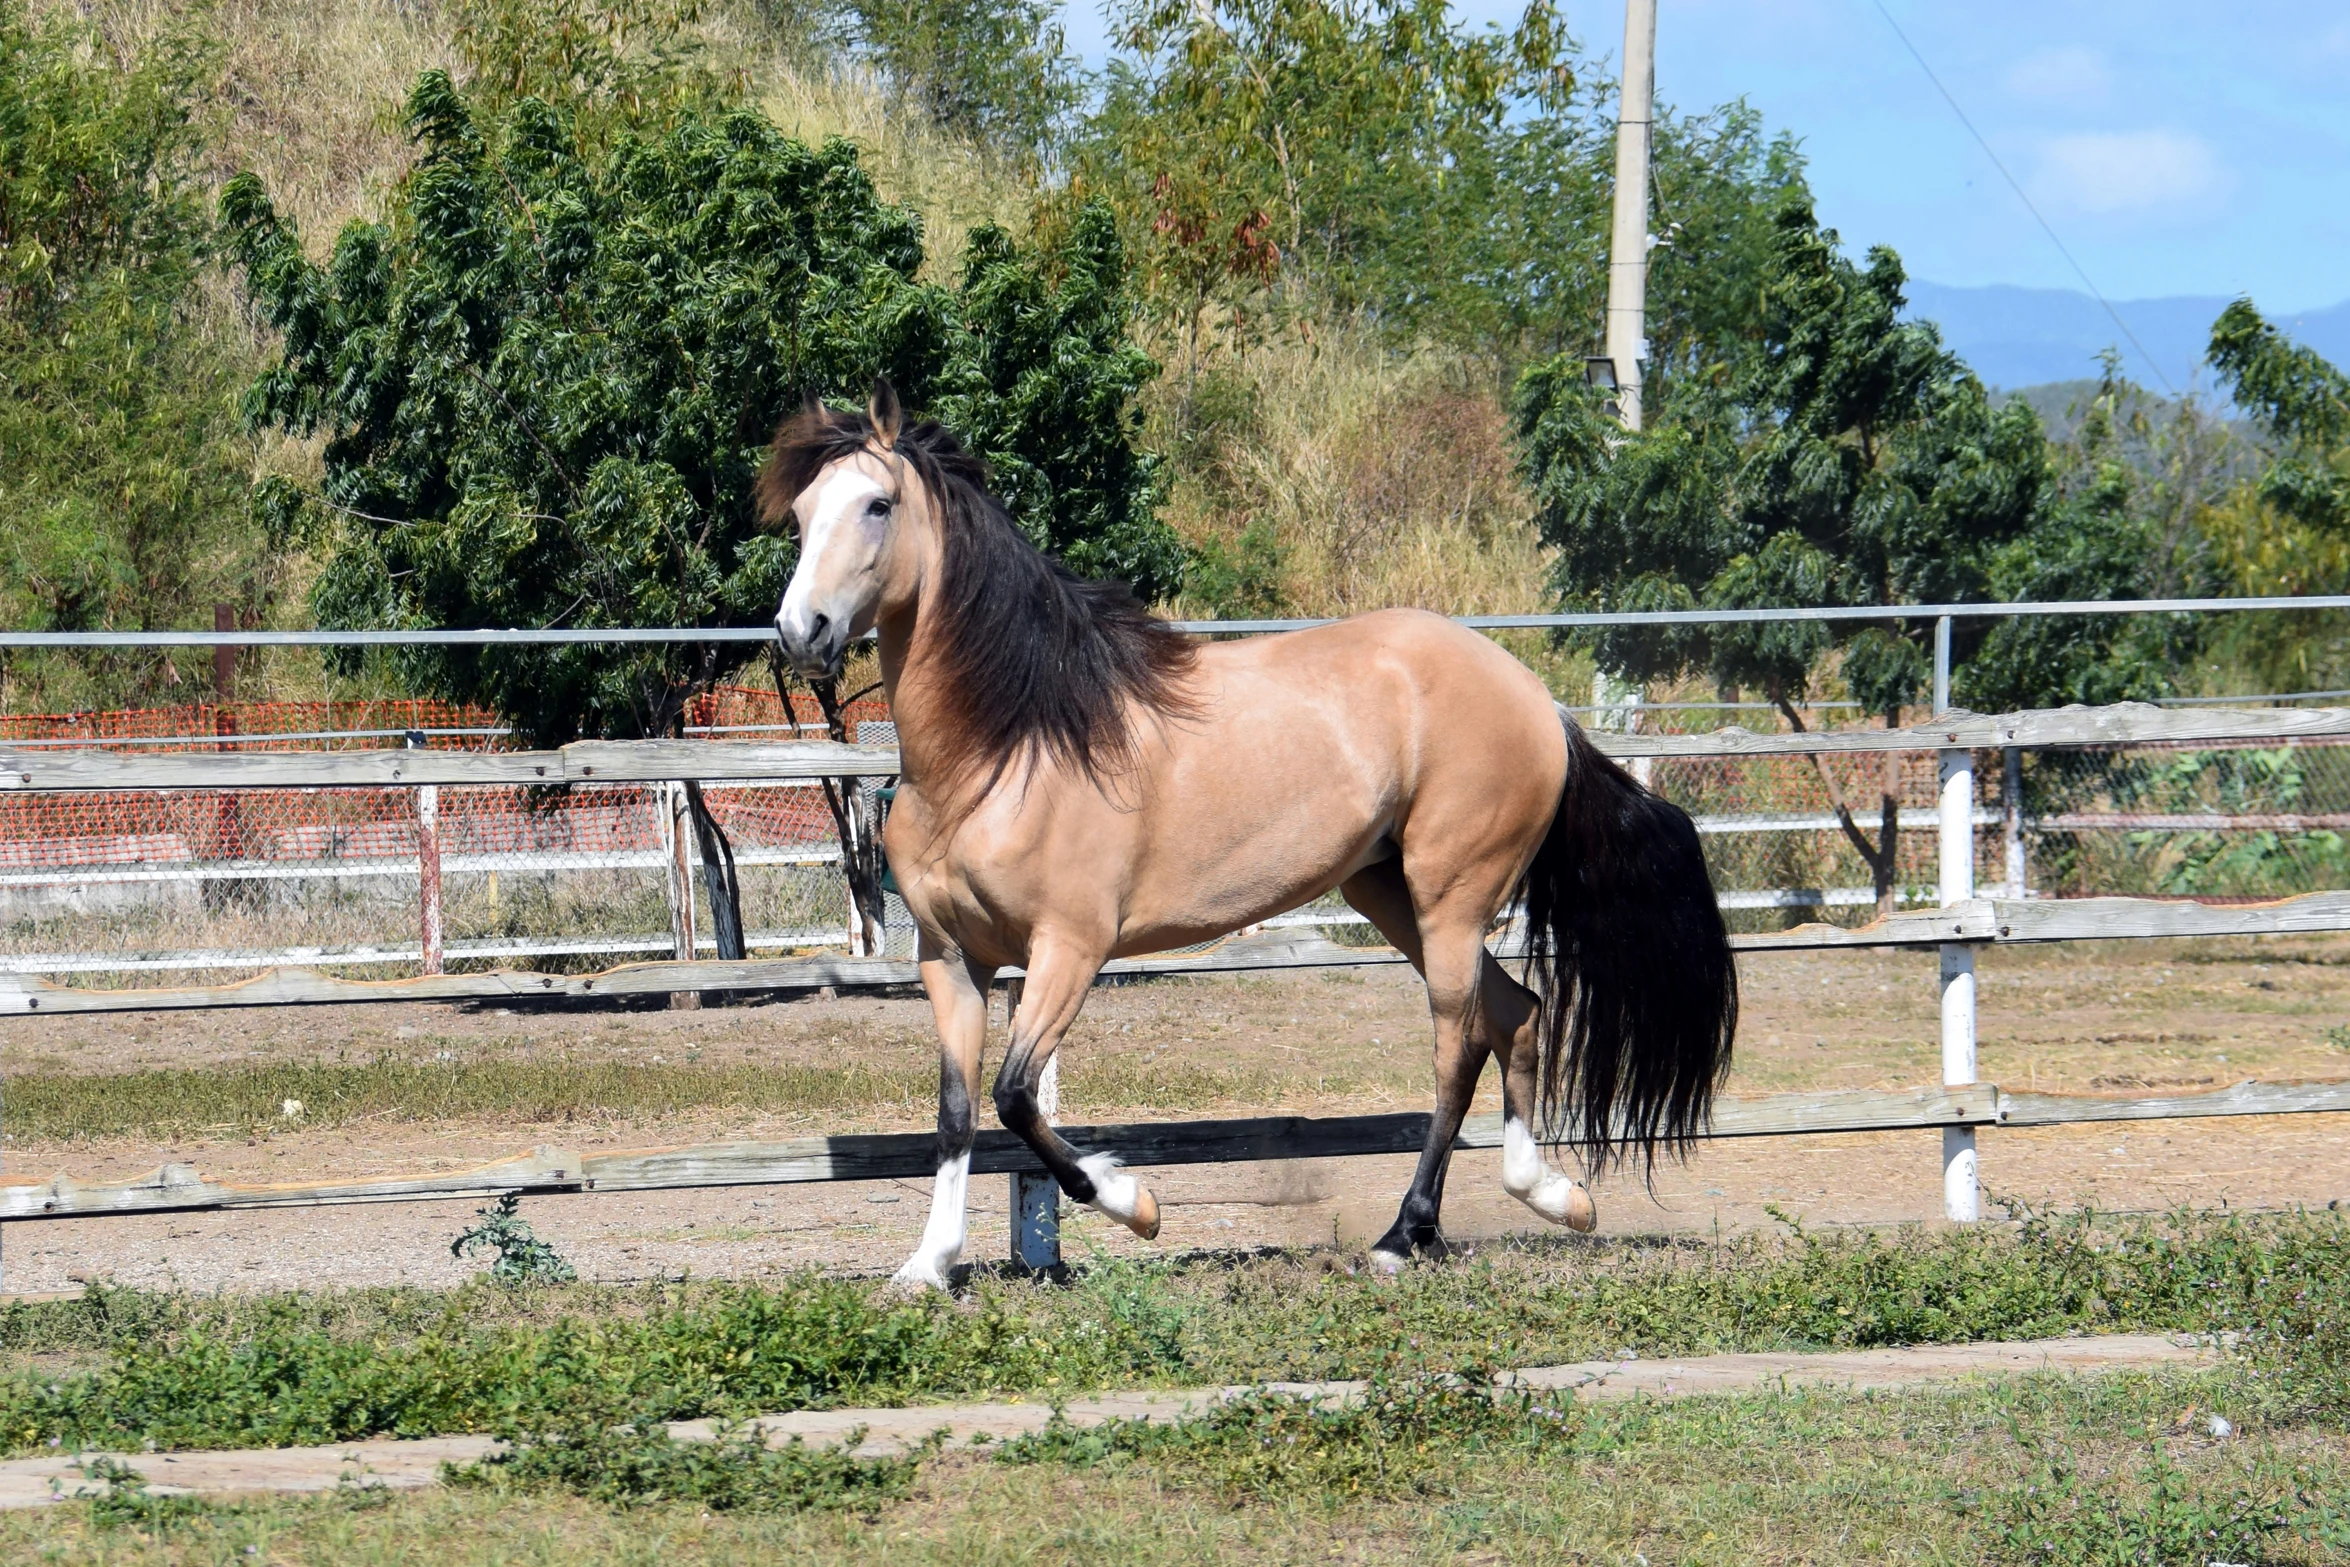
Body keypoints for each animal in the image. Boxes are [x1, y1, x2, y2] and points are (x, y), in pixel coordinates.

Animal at [761, 380, 1738, 1287]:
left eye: (878, 504)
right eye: (804, 513)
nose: (800, 631)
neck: (1009, 746)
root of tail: (1541, 705)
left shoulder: (1069, 948)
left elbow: (1014, 1096)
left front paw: (1137, 1203)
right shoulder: (949, 957)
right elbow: (958, 1111)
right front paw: (928, 1265)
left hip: (1453, 898)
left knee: (1458, 1047)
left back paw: (1401, 1237)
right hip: (1390, 892)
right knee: (1519, 1012)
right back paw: (1554, 1196)